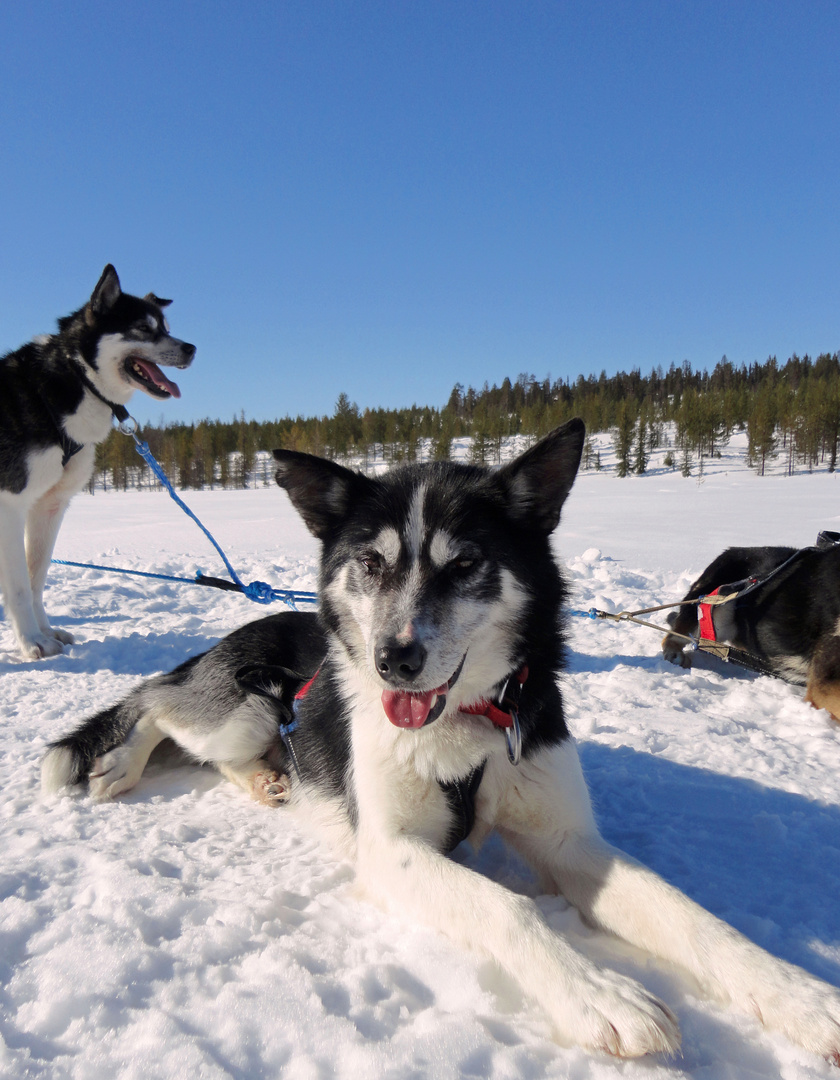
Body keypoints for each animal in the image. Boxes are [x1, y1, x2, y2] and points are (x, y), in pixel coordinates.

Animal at [0, 265, 193, 660]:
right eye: (143, 328)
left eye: (166, 327)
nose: (191, 348)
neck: (73, 379)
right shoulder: (10, 505)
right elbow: (20, 586)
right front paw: (31, 641)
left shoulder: (50, 506)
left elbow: (36, 576)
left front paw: (46, 632)